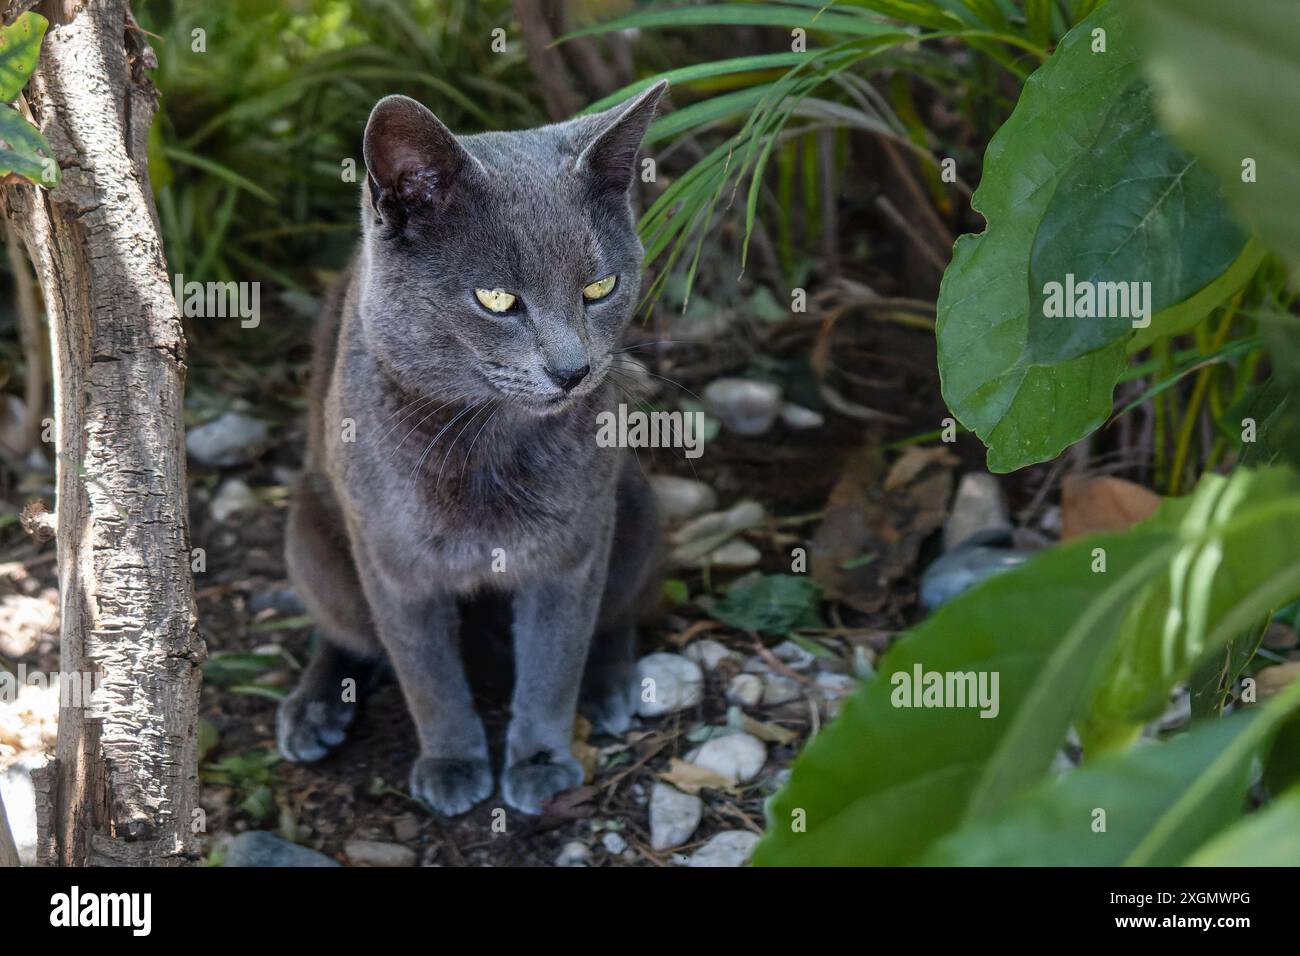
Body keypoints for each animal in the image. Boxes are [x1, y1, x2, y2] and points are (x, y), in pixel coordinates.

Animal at [282, 80, 670, 816]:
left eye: (600, 289)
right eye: (496, 299)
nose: (574, 371)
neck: (487, 444)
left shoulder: (572, 550)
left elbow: (554, 660)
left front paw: (541, 759)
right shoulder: (393, 562)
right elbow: (427, 675)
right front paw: (453, 762)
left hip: (632, 503)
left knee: (620, 612)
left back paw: (609, 687)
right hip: (312, 532)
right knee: (344, 631)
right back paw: (314, 708)